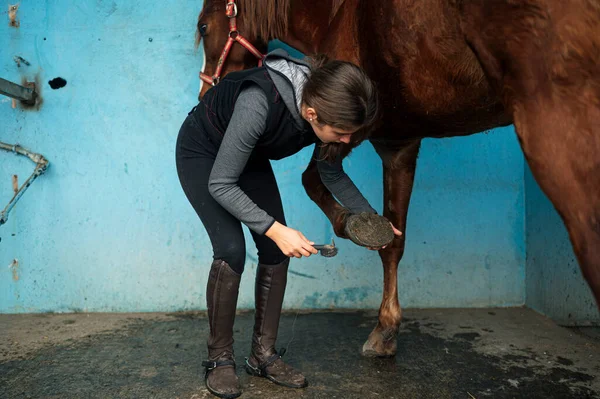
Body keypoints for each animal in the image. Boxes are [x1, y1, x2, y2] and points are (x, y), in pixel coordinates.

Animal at [195, 0, 600, 356]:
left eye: (203, 27)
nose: (205, 93)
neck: (337, 10)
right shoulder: (399, 146)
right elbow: (394, 241)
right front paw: (385, 330)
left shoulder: (348, 131)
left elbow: (313, 180)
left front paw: (351, 224)